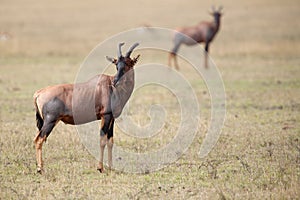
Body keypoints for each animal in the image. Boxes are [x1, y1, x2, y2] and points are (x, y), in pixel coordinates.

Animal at [32, 42, 141, 173]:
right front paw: (100, 168)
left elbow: (110, 141)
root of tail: (39, 93)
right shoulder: (106, 116)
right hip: (50, 121)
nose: (116, 82)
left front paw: (110, 167)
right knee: (38, 140)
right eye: (116, 65)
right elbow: (102, 140)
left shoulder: (112, 118)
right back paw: (40, 169)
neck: (110, 86)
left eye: (128, 63)